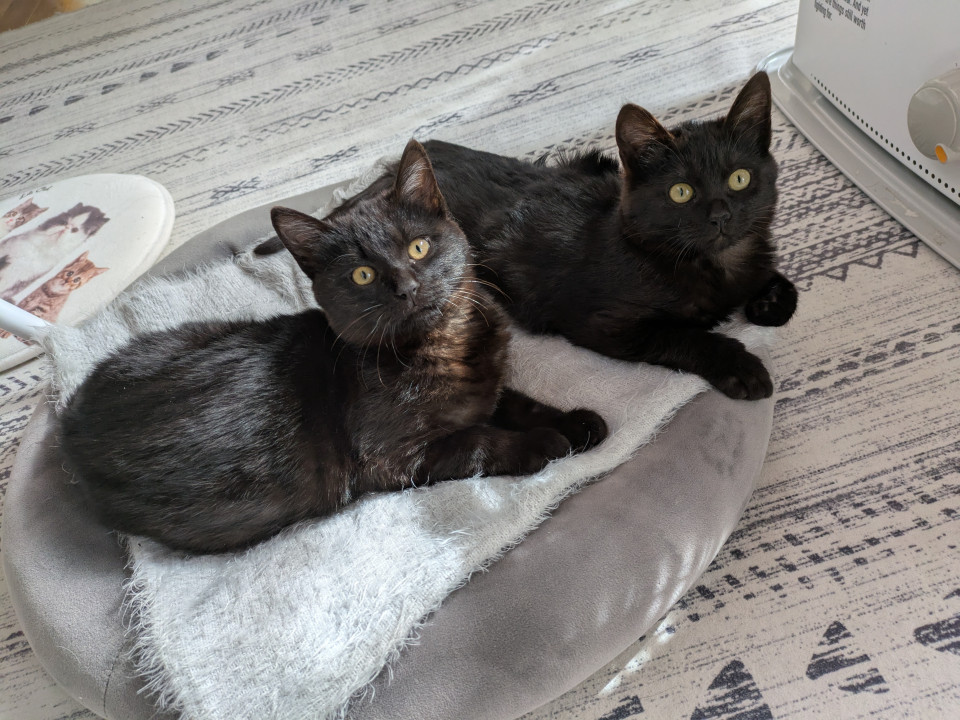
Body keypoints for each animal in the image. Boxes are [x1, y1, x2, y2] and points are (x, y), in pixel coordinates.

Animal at [58, 139, 607, 554]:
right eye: (361, 274)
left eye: (418, 247)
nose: (406, 286)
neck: (447, 344)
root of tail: (70, 419)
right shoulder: (394, 458)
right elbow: (477, 440)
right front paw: (545, 442)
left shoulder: (488, 384)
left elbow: (513, 401)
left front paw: (577, 421)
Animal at [421, 72, 797, 400]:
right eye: (681, 192)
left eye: (739, 178)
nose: (721, 215)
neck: (716, 265)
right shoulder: (603, 325)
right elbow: (684, 336)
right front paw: (742, 368)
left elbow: (784, 287)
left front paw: (768, 305)